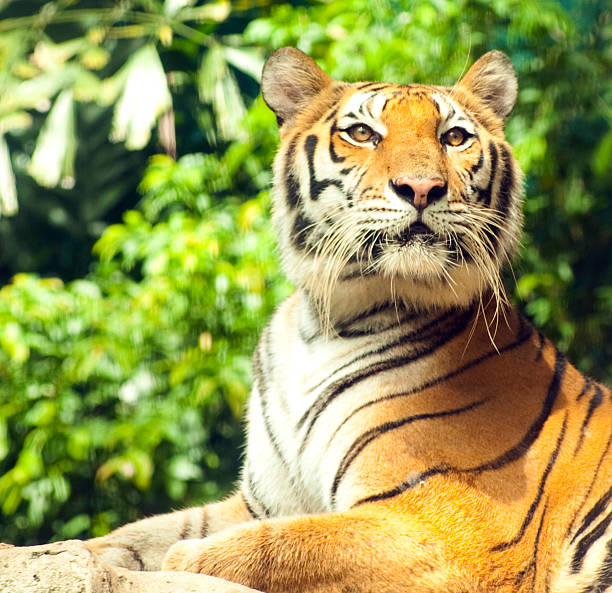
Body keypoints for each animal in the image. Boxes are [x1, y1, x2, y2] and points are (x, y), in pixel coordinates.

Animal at [87, 47, 612, 592]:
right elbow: (144, 531)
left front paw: (187, 559)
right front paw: (88, 553)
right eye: (362, 133)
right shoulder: (264, 500)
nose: (421, 187)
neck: (327, 323)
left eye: (454, 137)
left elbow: (282, 545)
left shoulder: (455, 538)